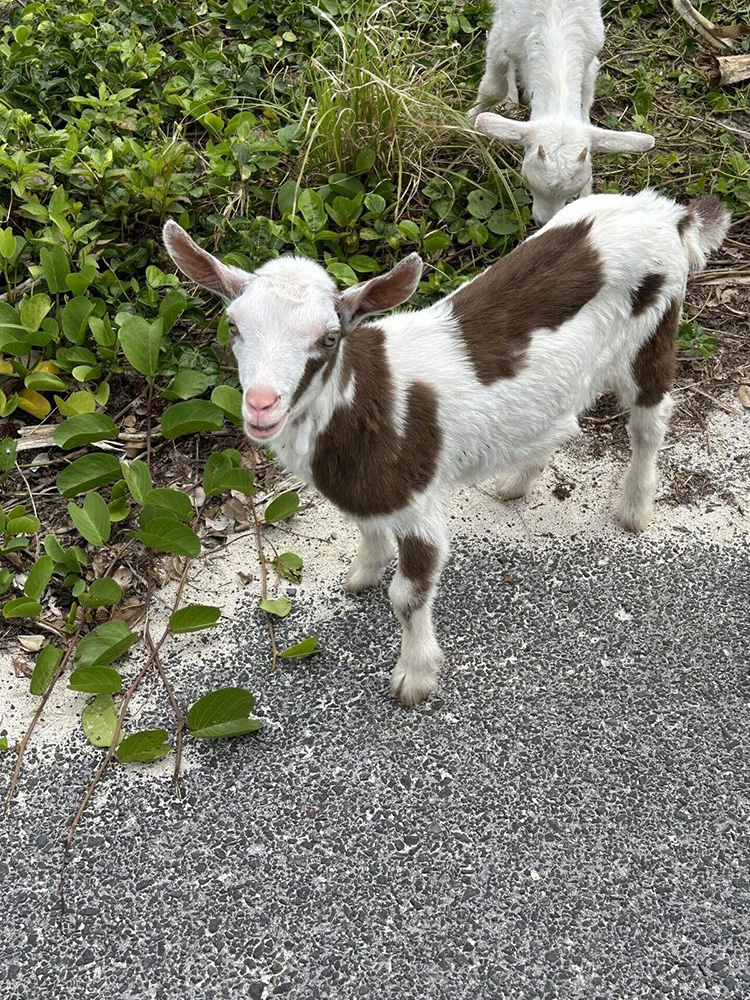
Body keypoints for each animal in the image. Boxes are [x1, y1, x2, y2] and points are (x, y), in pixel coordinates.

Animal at [472, 0, 656, 223]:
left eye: (572, 192)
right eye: (526, 178)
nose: (543, 222)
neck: (556, 23)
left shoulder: (590, 59)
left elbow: (586, 101)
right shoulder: (501, 38)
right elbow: (492, 89)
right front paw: (468, 120)